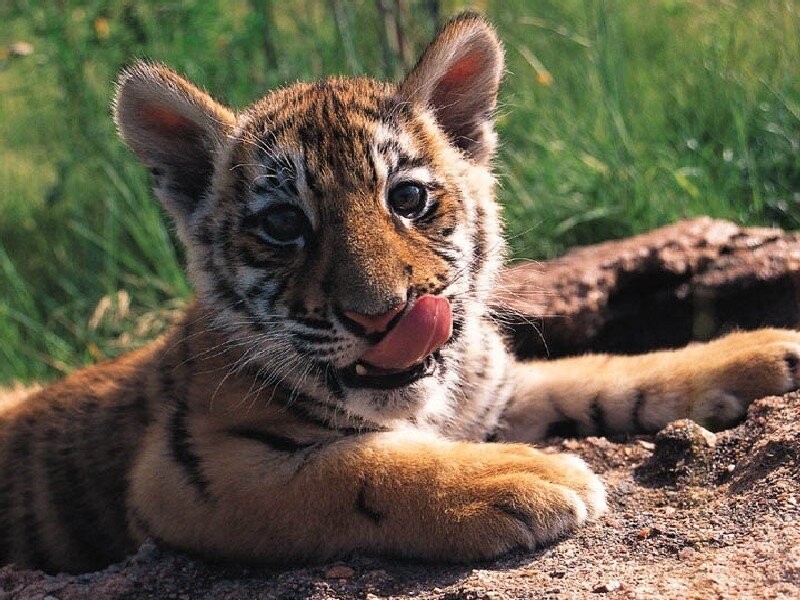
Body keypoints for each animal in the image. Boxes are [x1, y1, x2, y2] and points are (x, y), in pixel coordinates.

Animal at [2, 12, 800, 575]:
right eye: (284, 224)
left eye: (407, 198)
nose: (381, 316)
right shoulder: (190, 474)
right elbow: (352, 467)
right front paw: (523, 474)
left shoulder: (495, 388)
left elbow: (605, 373)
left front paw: (763, 352)